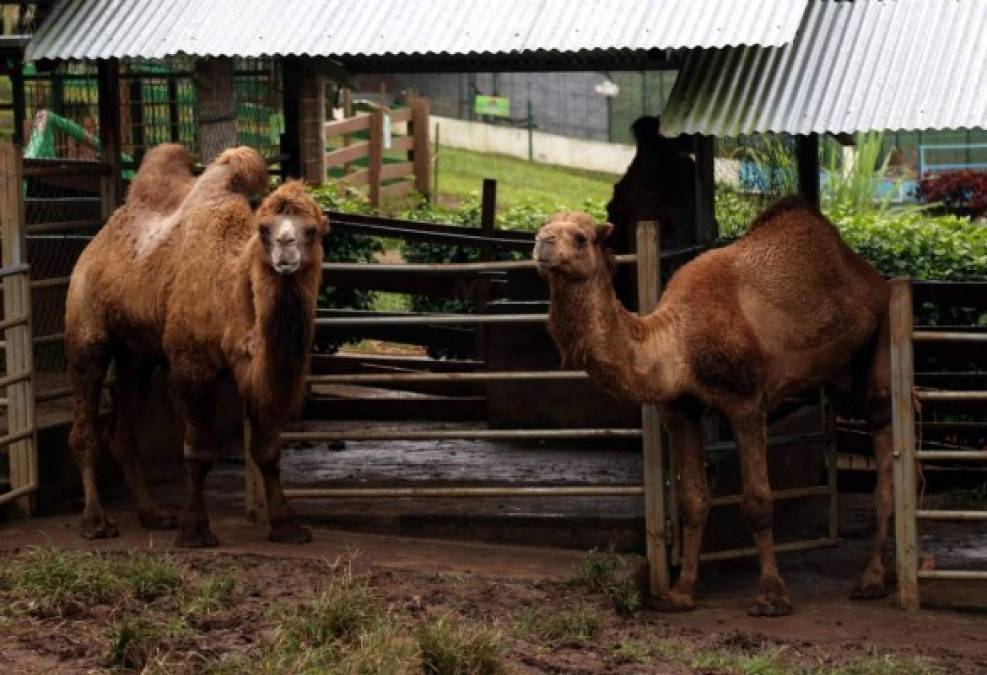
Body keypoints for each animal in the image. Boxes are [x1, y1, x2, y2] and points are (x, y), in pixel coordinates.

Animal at [65, 145, 328, 548]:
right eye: (264, 229)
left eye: (311, 230)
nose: (286, 248)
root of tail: (98, 239)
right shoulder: (191, 365)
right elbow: (199, 451)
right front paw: (195, 530)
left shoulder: (255, 371)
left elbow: (268, 449)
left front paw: (287, 526)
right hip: (86, 322)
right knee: (86, 418)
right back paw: (96, 521)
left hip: (136, 354)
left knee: (124, 429)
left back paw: (153, 515)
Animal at [540, 198, 896, 616]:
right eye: (544, 225)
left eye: (580, 237)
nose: (541, 243)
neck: (678, 344)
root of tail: (871, 275)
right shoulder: (679, 410)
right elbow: (693, 500)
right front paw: (681, 593)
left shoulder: (746, 403)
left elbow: (758, 502)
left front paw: (771, 596)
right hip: (842, 370)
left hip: (883, 335)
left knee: (883, 440)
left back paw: (872, 580)